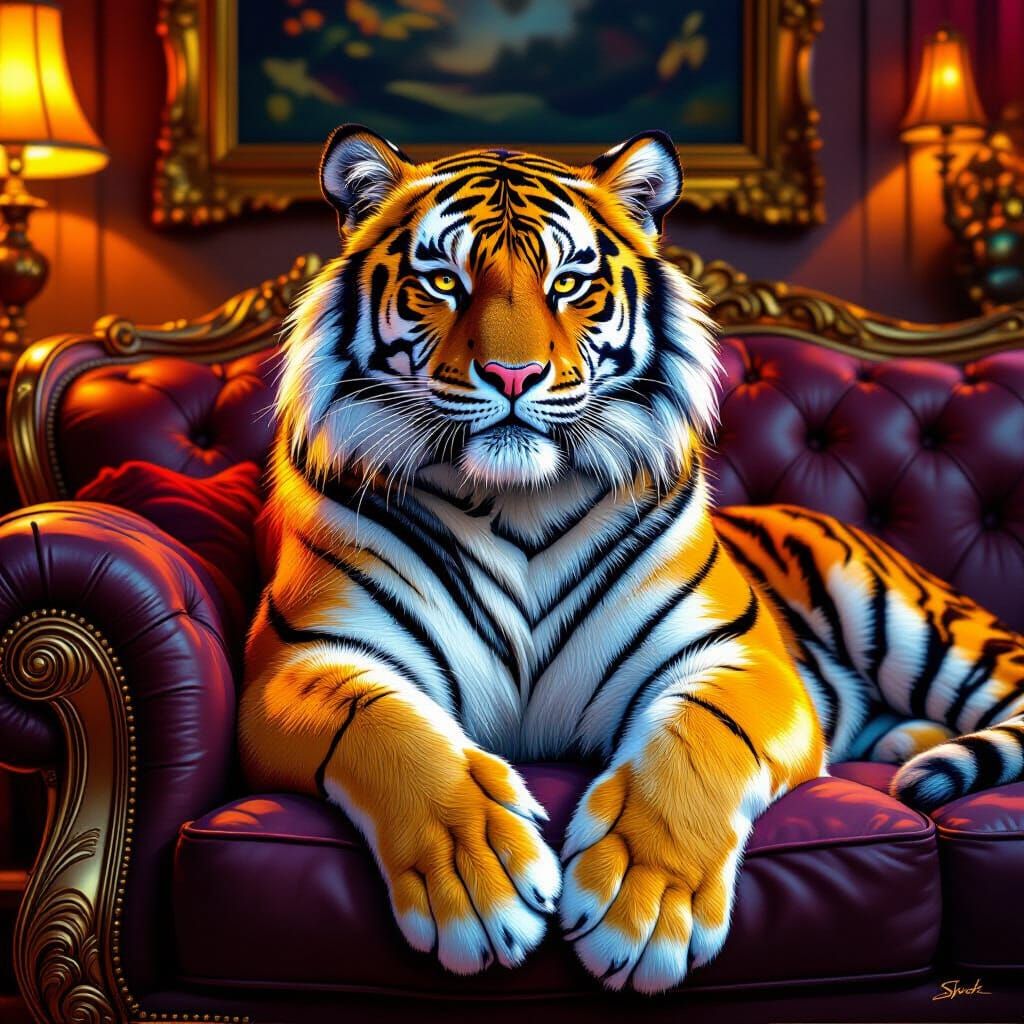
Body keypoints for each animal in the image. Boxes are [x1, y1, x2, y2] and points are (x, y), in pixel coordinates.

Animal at [240, 124, 1024, 994]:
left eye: (569, 283)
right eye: (442, 280)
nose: (513, 375)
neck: (518, 501)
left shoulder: (738, 656)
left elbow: (698, 739)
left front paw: (643, 904)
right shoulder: (304, 659)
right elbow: (391, 730)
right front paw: (478, 879)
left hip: (916, 623)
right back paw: (902, 748)